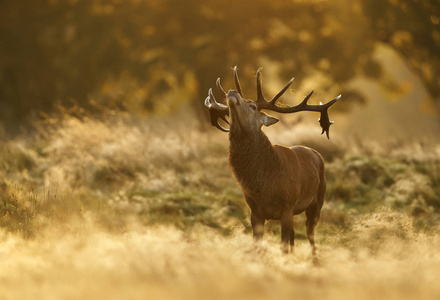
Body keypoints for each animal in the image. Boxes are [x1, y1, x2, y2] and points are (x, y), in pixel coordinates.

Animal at [205, 67, 342, 264]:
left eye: (253, 106)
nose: (232, 92)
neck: (265, 187)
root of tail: (315, 153)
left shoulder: (287, 205)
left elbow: (282, 246)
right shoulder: (255, 210)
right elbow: (257, 245)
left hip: (318, 200)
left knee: (310, 233)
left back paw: (315, 261)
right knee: (294, 234)